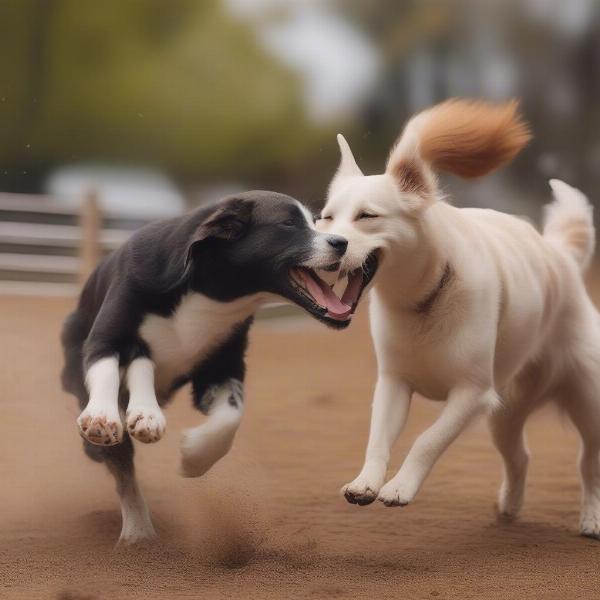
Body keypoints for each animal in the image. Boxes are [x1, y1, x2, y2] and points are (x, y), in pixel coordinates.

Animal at [61, 191, 370, 544]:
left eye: (316, 220)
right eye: (288, 223)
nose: (343, 242)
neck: (210, 290)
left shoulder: (223, 366)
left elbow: (229, 417)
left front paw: (193, 456)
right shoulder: (107, 336)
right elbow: (107, 367)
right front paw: (101, 416)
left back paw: (147, 418)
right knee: (124, 462)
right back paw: (138, 530)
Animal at [316, 99, 596, 540]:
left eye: (367, 216)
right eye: (327, 218)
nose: (332, 243)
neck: (423, 298)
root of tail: (560, 254)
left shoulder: (471, 393)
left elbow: (426, 440)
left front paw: (398, 488)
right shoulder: (395, 383)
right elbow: (377, 440)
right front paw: (366, 483)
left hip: (588, 400)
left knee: (588, 462)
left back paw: (591, 517)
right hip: (505, 414)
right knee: (521, 457)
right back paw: (509, 509)